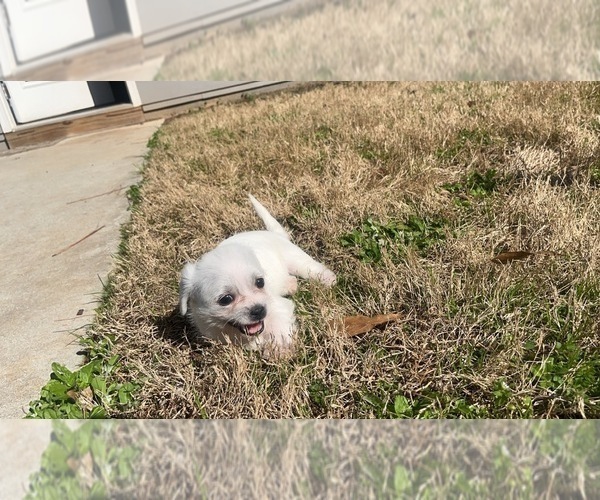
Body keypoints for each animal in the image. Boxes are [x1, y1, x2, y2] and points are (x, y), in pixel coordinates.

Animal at [178, 195, 338, 356]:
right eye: (226, 299)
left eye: (260, 282)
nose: (259, 310)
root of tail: (274, 233)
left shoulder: (279, 306)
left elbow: (279, 327)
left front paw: (280, 350)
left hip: (296, 260)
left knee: (311, 268)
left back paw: (327, 279)